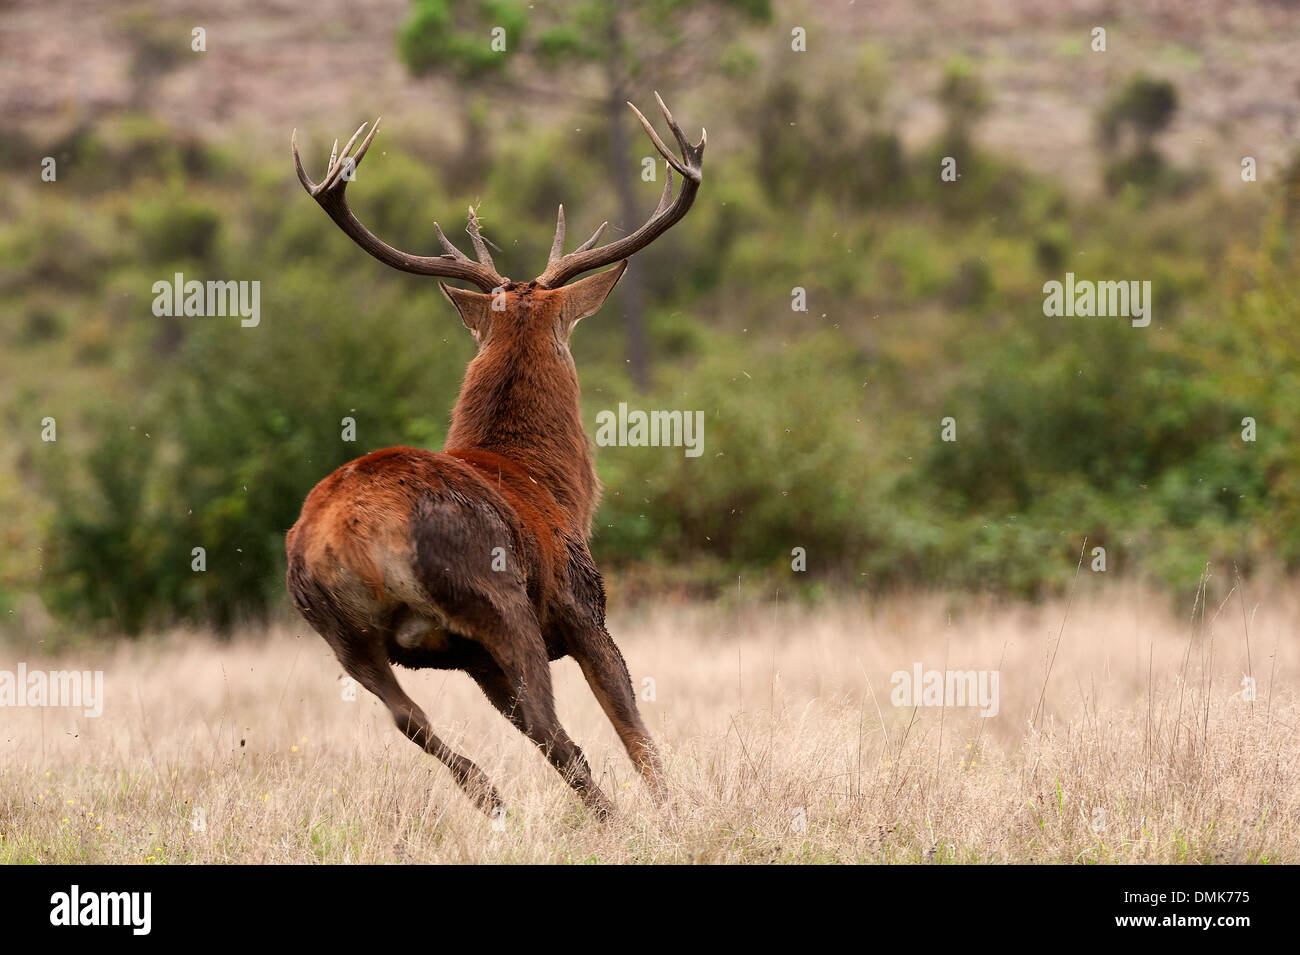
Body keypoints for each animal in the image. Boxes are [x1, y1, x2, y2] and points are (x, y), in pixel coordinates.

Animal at [288, 93, 707, 815]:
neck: (552, 486)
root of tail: (348, 537)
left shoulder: (477, 657)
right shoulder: (581, 604)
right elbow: (636, 728)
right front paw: (674, 814)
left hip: (343, 633)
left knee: (415, 720)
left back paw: (494, 800)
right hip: (498, 596)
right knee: (551, 727)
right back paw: (609, 818)